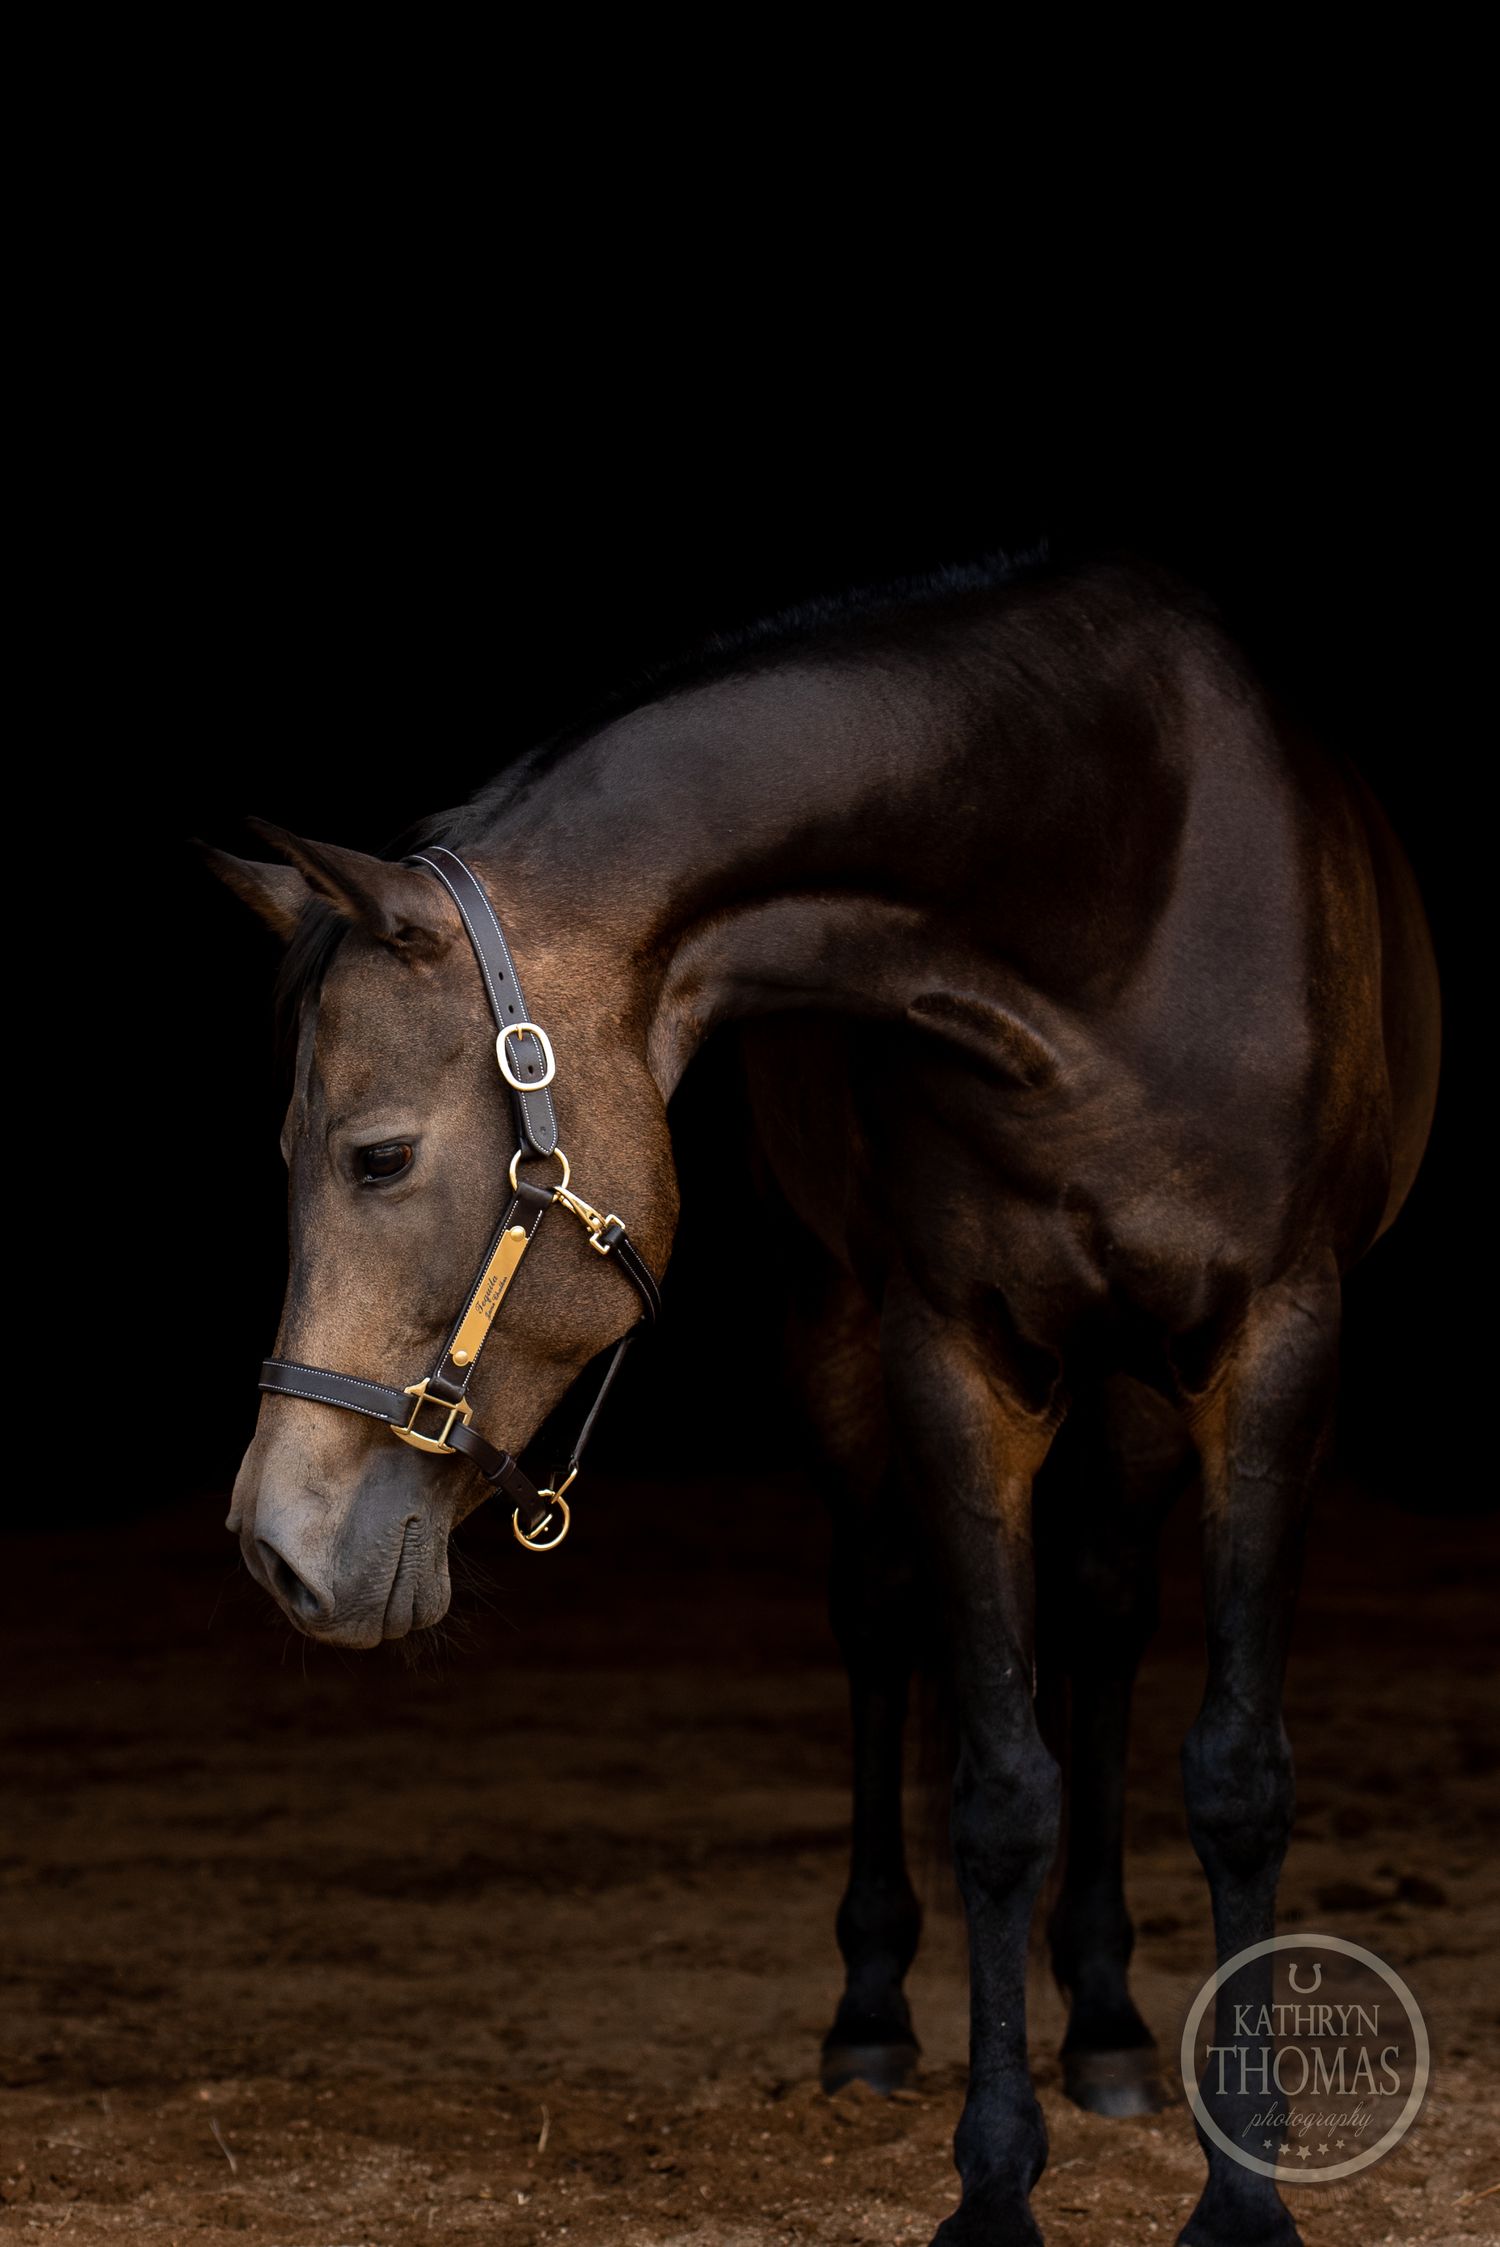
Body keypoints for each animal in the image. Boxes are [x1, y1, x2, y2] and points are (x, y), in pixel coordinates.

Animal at [206, 552, 1439, 2247]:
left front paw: (1246, 2197)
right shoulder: (950, 1354)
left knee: (1108, 1620)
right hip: (846, 1336)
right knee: (883, 1618)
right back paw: (876, 2016)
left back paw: (1112, 2025)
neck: (1111, 901)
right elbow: (997, 1787)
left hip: (1136, 1386)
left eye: (377, 1155)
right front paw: (992, 2190)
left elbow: (1239, 1773)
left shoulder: (1277, 1351)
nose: (279, 1544)